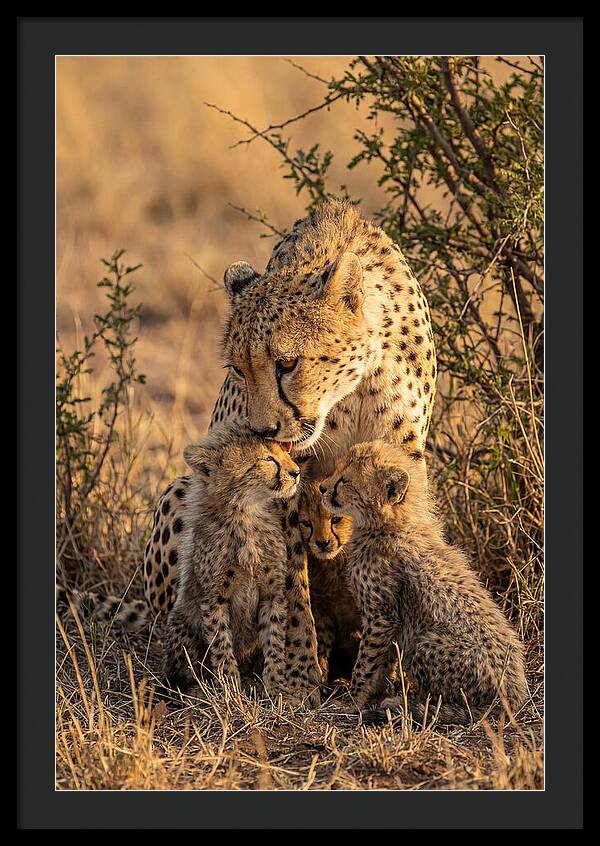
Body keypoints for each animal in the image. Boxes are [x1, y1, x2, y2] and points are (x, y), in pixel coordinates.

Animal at [161, 422, 316, 703]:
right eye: (268, 459)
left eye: (284, 452)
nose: (296, 472)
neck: (246, 514)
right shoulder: (214, 598)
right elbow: (221, 645)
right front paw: (230, 690)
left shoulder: (272, 593)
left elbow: (274, 641)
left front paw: (276, 687)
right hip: (181, 623)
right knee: (182, 668)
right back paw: (196, 689)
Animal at [298, 481, 360, 685]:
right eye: (307, 523)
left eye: (336, 519)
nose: (322, 543)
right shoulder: (323, 608)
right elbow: (322, 643)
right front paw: (321, 677)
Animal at [320, 440, 528, 725]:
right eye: (336, 471)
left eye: (344, 481)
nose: (322, 487)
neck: (390, 524)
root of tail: (514, 696)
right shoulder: (389, 621)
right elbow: (382, 663)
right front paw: (373, 694)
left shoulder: (381, 616)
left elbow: (367, 662)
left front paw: (353, 700)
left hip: (424, 642)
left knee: (454, 704)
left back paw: (408, 705)